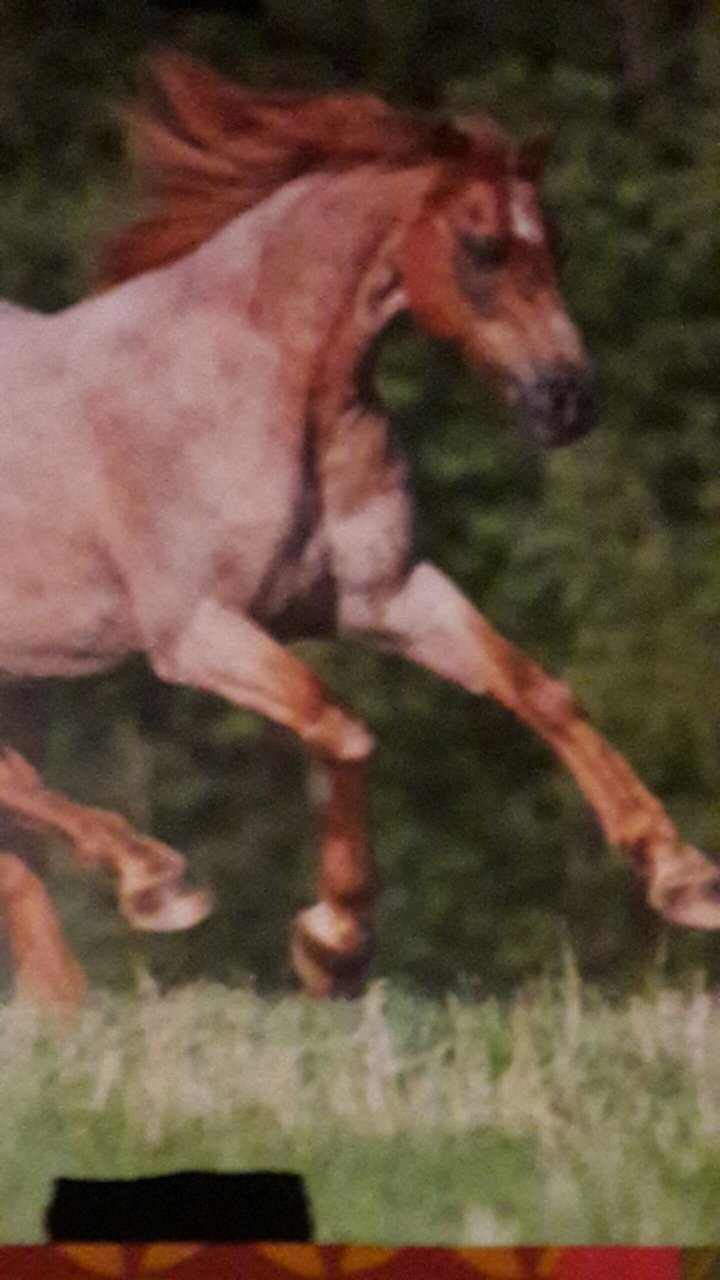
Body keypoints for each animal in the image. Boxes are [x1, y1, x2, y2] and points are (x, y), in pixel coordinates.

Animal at [0, 51, 719, 1001]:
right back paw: (154, 878)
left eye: (558, 247)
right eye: (482, 247)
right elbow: (341, 726)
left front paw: (683, 875)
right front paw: (333, 941)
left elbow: (538, 691)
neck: (263, 387)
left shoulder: (384, 595)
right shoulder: (197, 631)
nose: (568, 401)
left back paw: (75, 988)